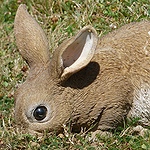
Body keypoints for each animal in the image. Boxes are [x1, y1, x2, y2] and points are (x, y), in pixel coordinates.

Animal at [14, 4, 150, 135]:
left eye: (40, 113)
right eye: (16, 94)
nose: (24, 133)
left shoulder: (117, 98)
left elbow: (109, 119)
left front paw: (97, 135)